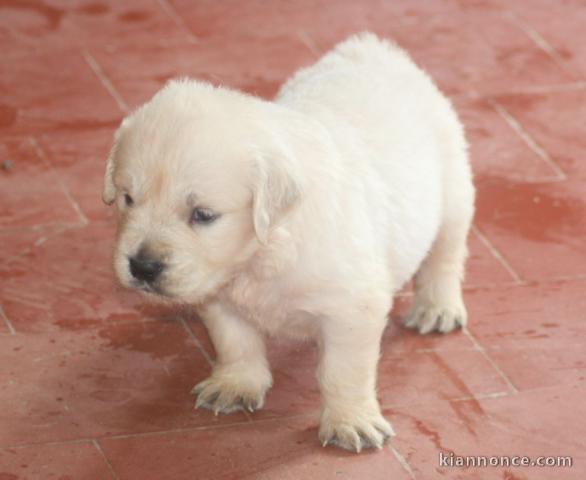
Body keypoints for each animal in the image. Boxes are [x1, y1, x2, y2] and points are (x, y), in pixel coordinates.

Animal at [102, 33, 472, 454]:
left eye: (203, 214)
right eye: (128, 199)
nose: (142, 266)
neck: (261, 252)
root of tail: (374, 48)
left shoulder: (354, 306)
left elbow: (344, 371)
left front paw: (351, 421)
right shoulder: (219, 295)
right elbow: (235, 341)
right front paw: (235, 385)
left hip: (453, 190)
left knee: (445, 256)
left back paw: (437, 308)